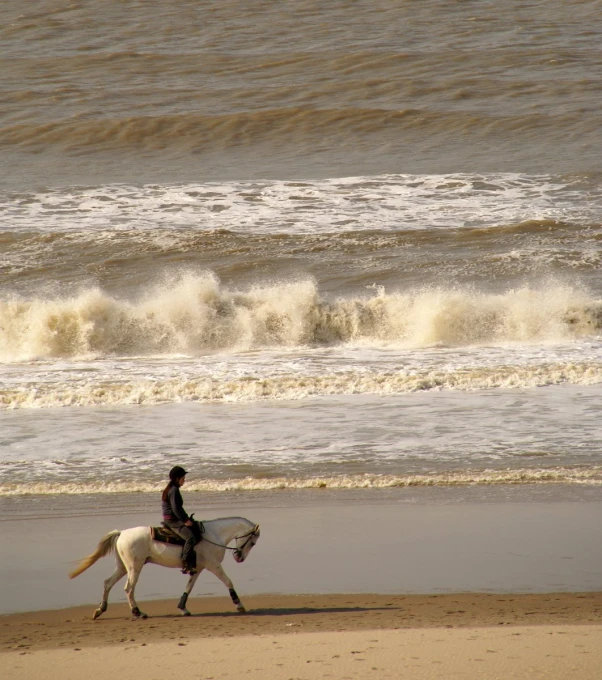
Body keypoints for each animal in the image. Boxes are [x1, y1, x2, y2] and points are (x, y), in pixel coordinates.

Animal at [69, 516, 258, 620]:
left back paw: (100, 610)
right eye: (253, 542)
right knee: (129, 589)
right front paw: (239, 604)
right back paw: (138, 612)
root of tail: (121, 533)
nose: (239, 557)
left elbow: (189, 587)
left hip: (123, 567)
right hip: (134, 568)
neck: (213, 535)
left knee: (108, 583)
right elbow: (228, 581)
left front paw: (183, 607)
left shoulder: (198, 568)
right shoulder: (214, 565)